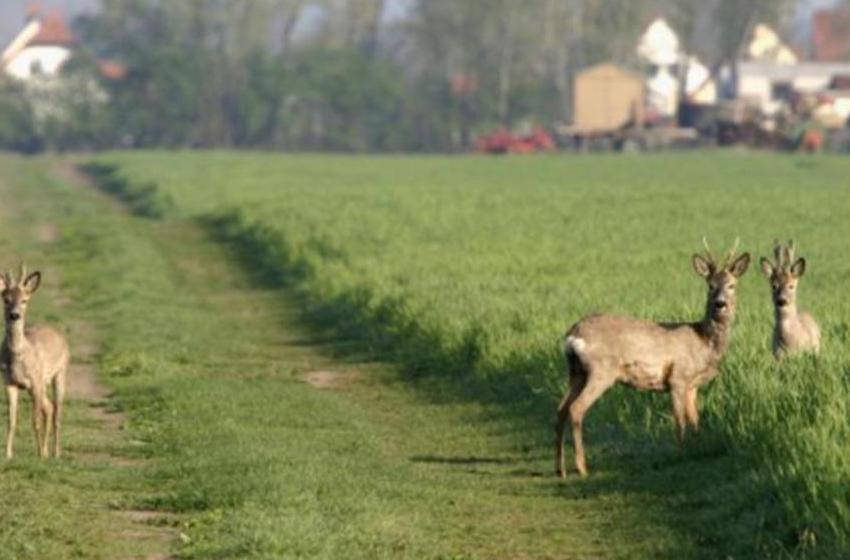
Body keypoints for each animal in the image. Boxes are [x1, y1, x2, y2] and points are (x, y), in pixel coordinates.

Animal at [1, 264, 68, 458]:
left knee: (57, 411)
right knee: (49, 407)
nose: (14, 315)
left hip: (60, 372)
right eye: (6, 299)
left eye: (24, 300)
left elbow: (35, 420)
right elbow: (11, 420)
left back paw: (55, 453)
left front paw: (40, 455)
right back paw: (47, 450)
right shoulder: (9, 382)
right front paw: (8, 455)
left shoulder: (36, 380)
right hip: (38, 385)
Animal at [556, 240, 748, 476]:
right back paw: (582, 468)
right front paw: (681, 456)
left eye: (732, 285)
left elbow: (695, 421)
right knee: (576, 409)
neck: (703, 342)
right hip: (601, 370)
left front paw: (698, 449)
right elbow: (680, 421)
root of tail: (573, 335)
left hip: (576, 372)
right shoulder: (678, 377)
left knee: (560, 409)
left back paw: (560, 468)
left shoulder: (692, 386)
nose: (720, 304)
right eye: (710, 285)